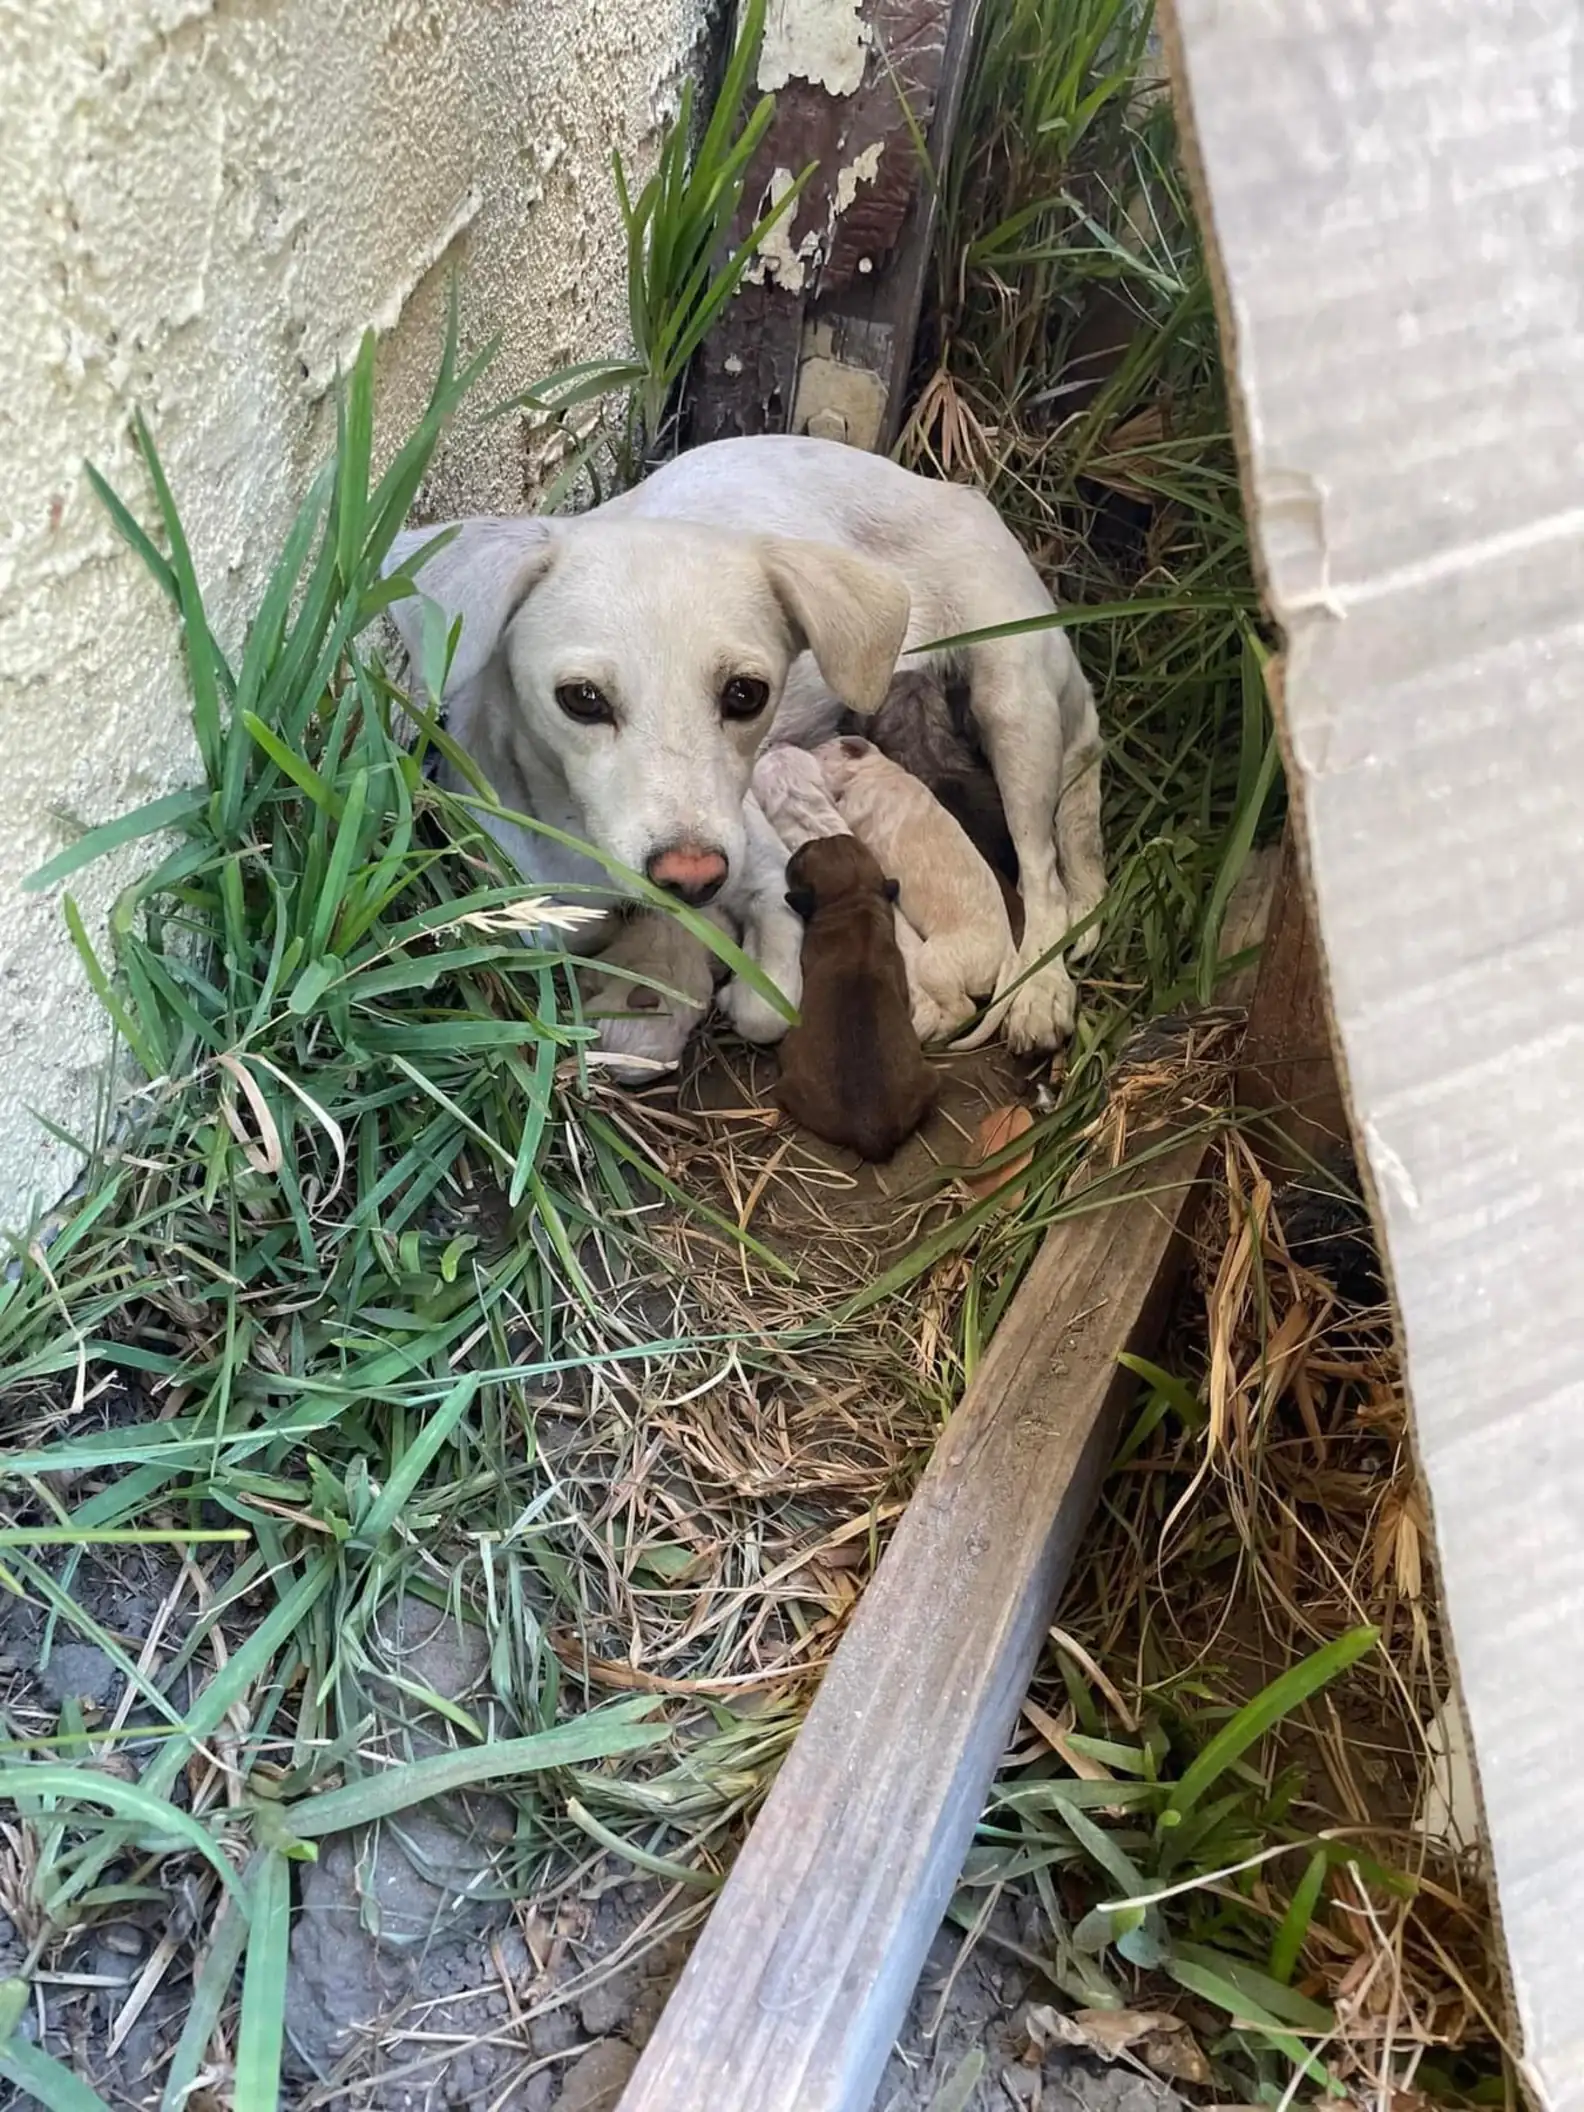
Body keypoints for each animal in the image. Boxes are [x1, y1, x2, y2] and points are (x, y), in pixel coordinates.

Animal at [819, 734, 1017, 1047]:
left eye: (820, 751)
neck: (878, 769)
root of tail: (1009, 950)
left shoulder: (855, 806)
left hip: (934, 962)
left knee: (964, 1008)